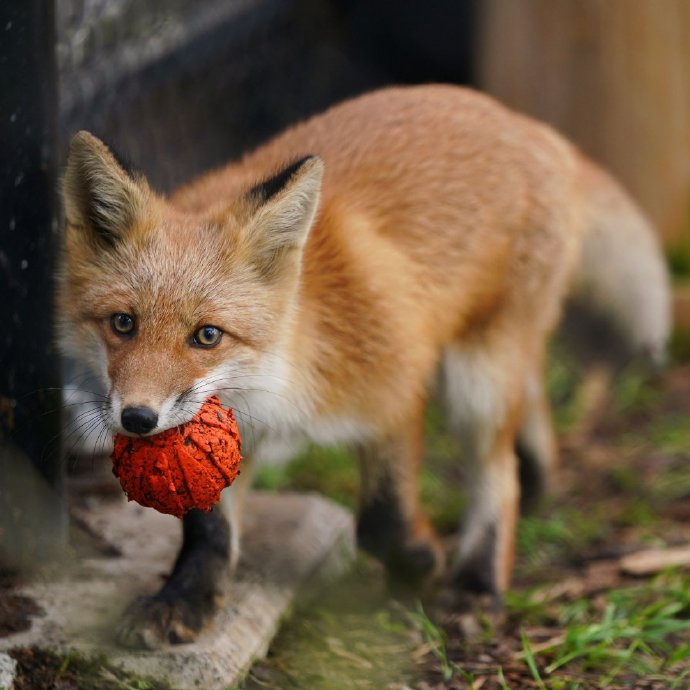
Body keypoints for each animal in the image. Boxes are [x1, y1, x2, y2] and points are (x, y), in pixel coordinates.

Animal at [56, 86, 668, 644]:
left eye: (207, 335)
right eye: (123, 324)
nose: (137, 419)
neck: (284, 373)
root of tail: (526, 124)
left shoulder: (398, 386)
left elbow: (381, 520)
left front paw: (420, 563)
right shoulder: (227, 430)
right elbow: (208, 529)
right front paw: (185, 598)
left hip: (478, 379)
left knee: (499, 476)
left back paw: (477, 584)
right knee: (532, 400)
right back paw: (540, 474)